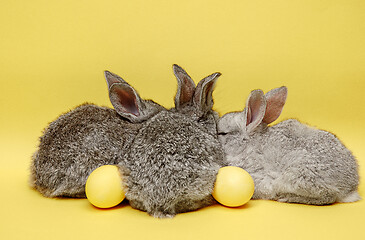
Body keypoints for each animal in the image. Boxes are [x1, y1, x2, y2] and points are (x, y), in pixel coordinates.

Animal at [218, 86, 360, 204]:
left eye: (223, 133)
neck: (247, 147)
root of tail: (350, 188)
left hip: (298, 177)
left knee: (328, 196)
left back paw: (286, 198)